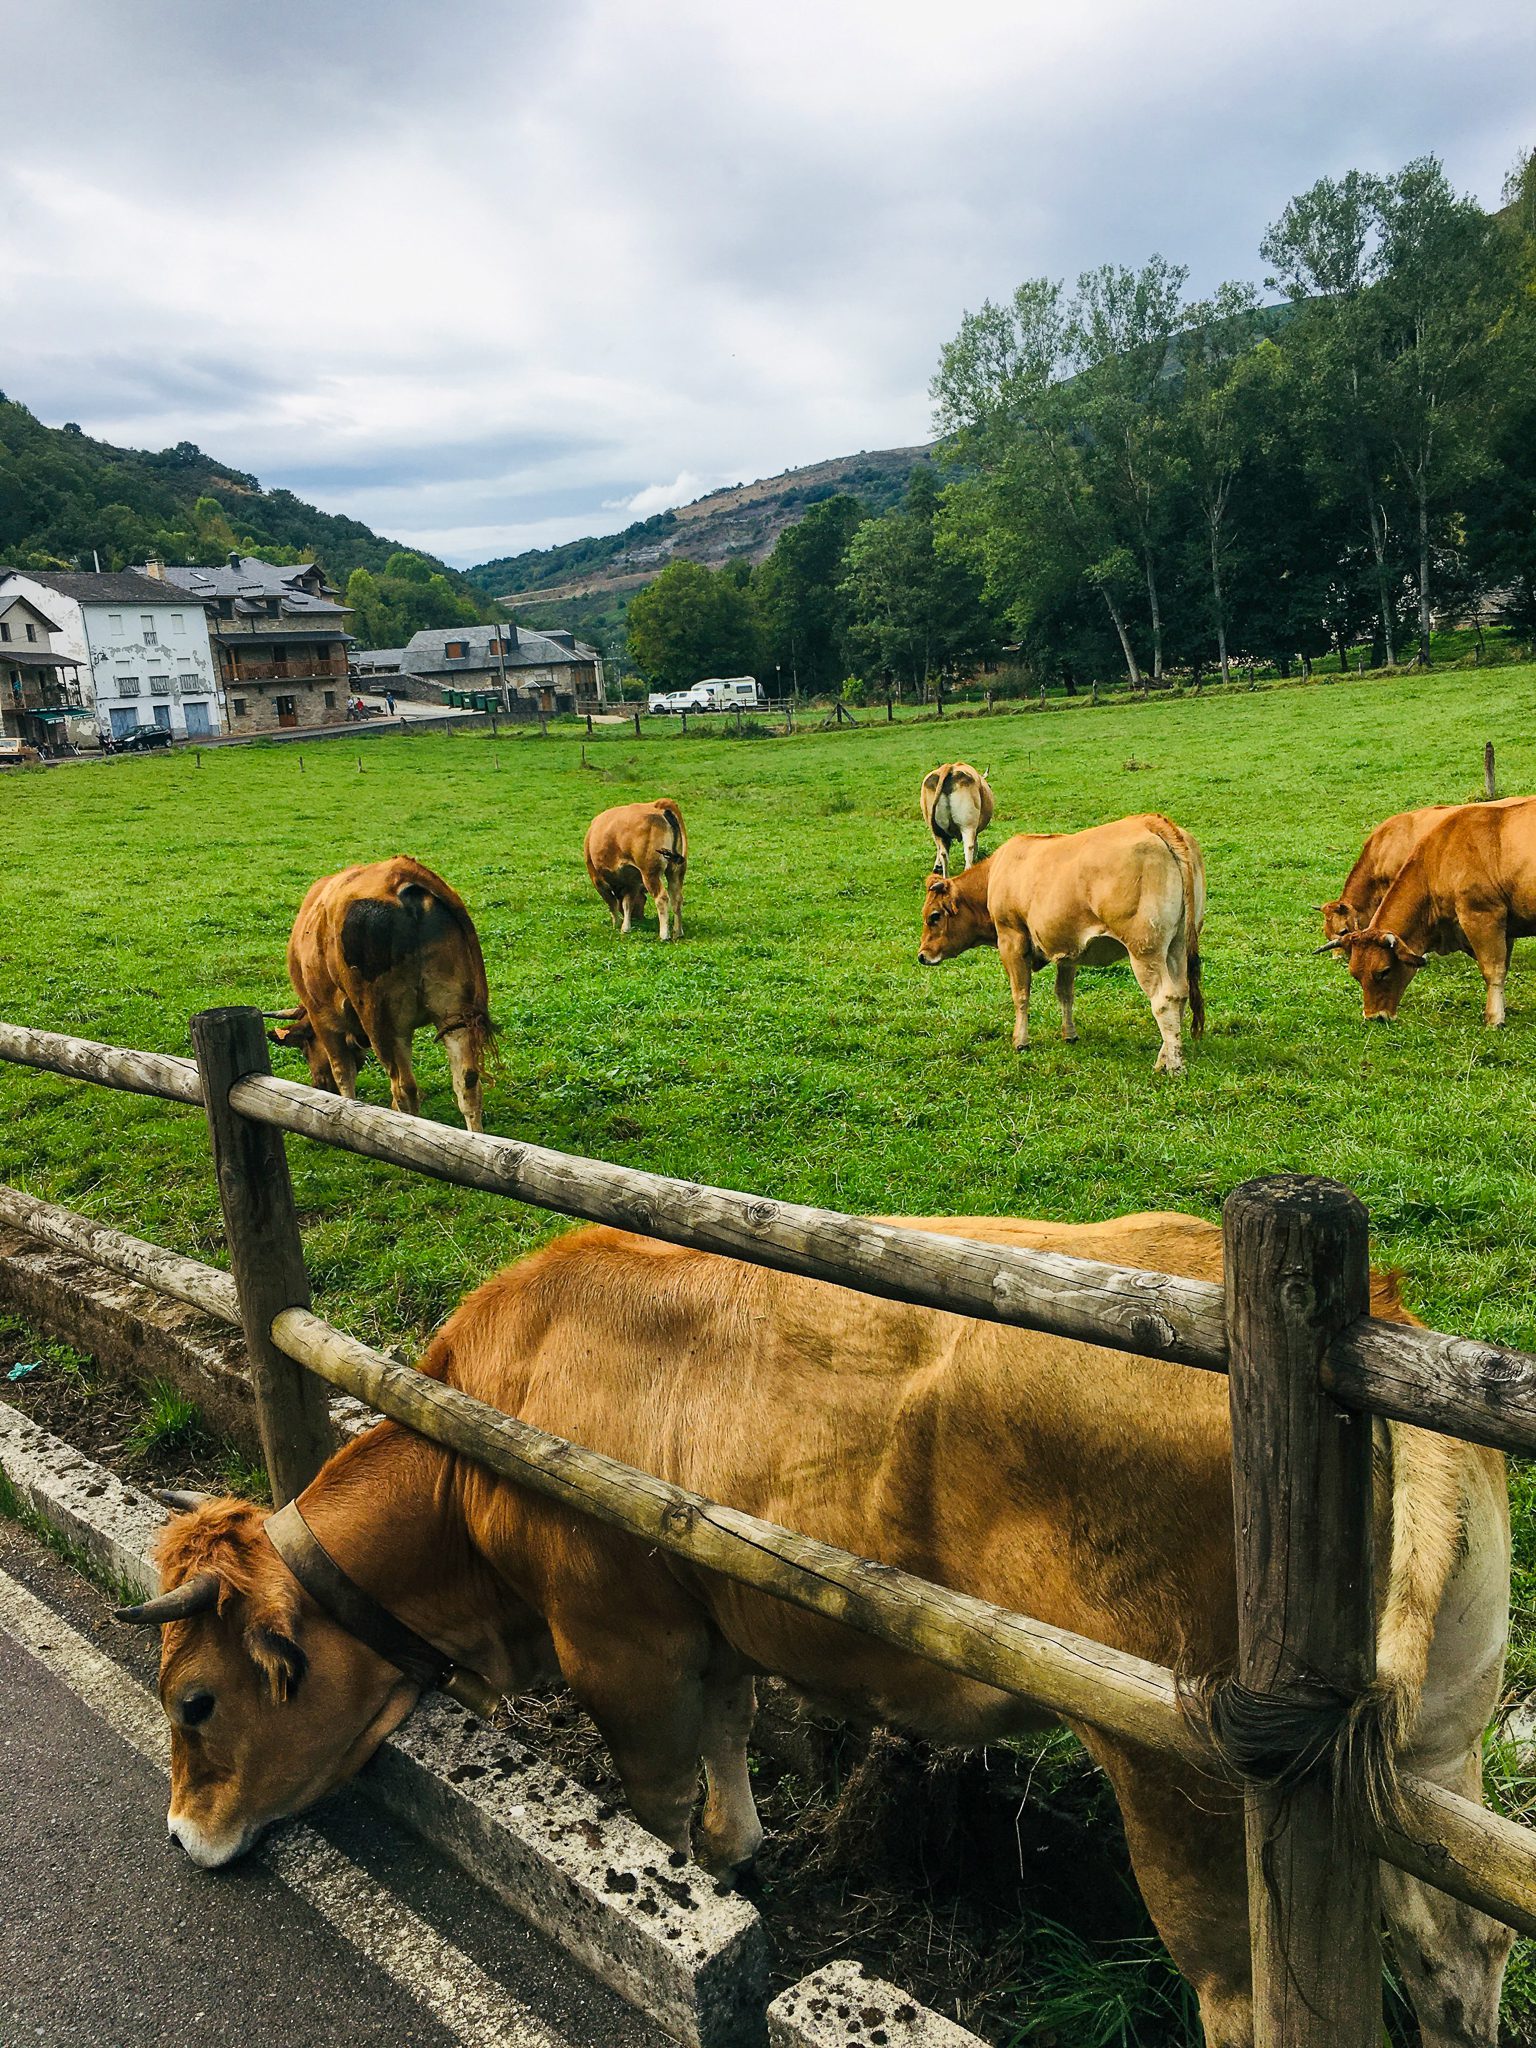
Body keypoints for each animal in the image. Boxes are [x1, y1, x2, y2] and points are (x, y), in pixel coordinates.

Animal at [120, 1212, 1515, 2048]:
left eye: (195, 1699)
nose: (183, 1830)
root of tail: (1383, 1310)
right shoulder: (708, 1622)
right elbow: (733, 1761)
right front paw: (737, 1863)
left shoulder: (619, 1647)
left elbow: (656, 1797)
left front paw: (677, 1884)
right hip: (1444, 1737)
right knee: (1461, 1947)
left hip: (1187, 1781)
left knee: (1246, 1991)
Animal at [268, 851, 495, 1130]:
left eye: (304, 1047)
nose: (319, 1084)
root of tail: (403, 877)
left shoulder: (322, 1016)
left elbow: (342, 1073)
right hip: (455, 1014)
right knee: (468, 1082)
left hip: (382, 1024)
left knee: (404, 1088)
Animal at [585, 798, 688, 942]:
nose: (639, 918)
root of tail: (658, 804)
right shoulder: (632, 882)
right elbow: (627, 903)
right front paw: (626, 927)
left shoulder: (597, 880)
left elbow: (612, 903)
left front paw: (617, 924)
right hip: (676, 871)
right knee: (677, 898)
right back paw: (678, 932)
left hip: (650, 873)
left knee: (661, 898)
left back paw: (664, 935)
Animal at [921, 811, 1212, 1073]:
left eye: (933, 916)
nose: (922, 955)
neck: (997, 873)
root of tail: (1151, 821)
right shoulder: (1069, 948)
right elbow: (1065, 993)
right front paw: (1069, 1034)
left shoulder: (1011, 940)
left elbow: (1021, 994)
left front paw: (1020, 1041)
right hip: (1176, 946)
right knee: (1180, 994)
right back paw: (1165, 1057)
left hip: (1145, 949)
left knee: (1164, 999)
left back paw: (1173, 1066)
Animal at [1318, 794, 1536, 1024]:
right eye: (1355, 975)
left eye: (1384, 971)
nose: (1374, 1017)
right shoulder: (1504, 927)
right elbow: (1503, 965)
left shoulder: (1482, 915)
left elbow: (1492, 969)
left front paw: (1494, 1019)